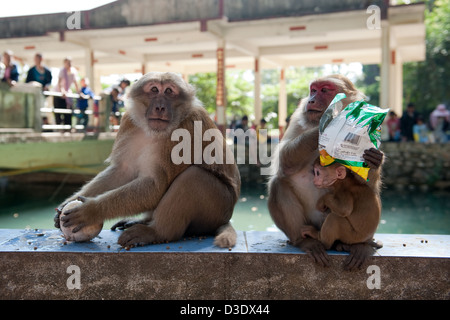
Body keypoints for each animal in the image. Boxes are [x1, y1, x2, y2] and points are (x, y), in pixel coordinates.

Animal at [268, 75, 384, 270]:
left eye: (324, 90)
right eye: (313, 90)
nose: (311, 100)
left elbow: (365, 180)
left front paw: (374, 159)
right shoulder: (298, 117)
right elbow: (283, 161)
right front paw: (326, 125)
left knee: (369, 192)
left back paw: (358, 245)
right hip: (311, 223)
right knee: (278, 183)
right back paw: (306, 242)